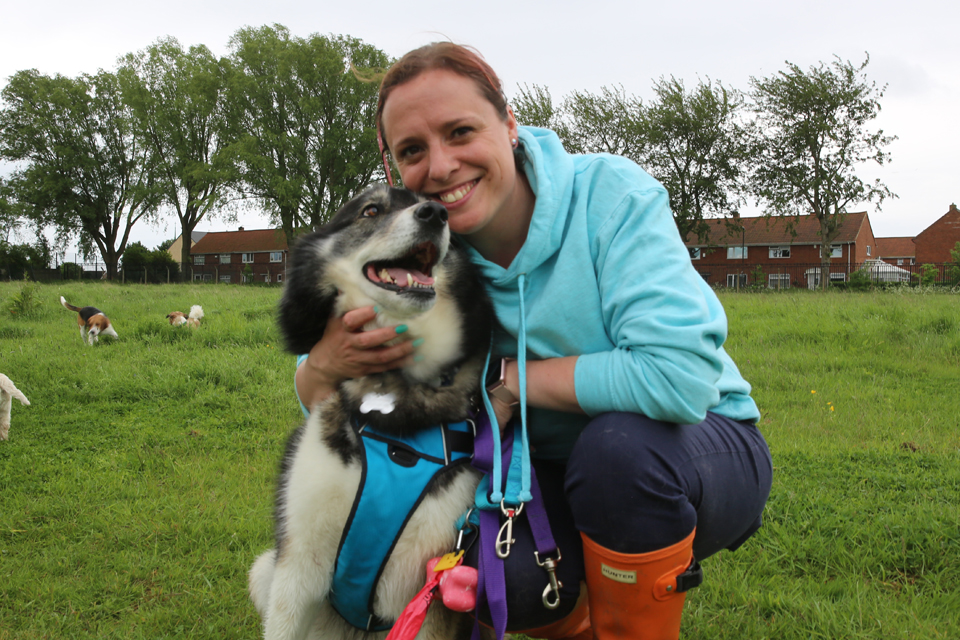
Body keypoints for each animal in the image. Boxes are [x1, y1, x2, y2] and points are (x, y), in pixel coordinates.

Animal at [251, 185, 496, 640]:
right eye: (370, 210)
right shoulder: (297, 568)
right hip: (264, 571)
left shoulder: (431, 590)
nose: (434, 214)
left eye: (443, 209)